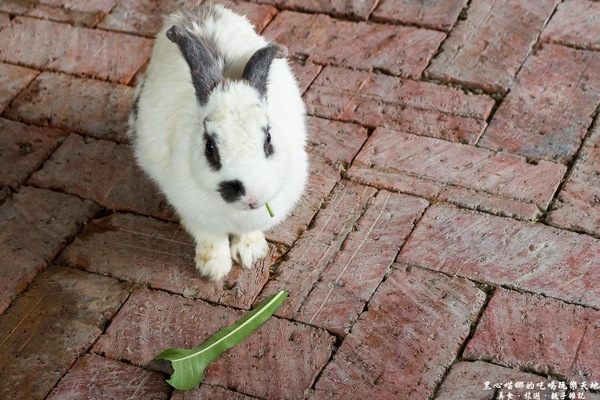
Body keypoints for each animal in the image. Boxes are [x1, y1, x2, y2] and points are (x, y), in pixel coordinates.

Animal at [132, 3, 310, 280]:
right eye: (210, 147)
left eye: (268, 138)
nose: (251, 195)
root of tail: (198, 11)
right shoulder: (193, 212)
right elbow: (210, 238)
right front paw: (213, 268)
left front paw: (249, 254)